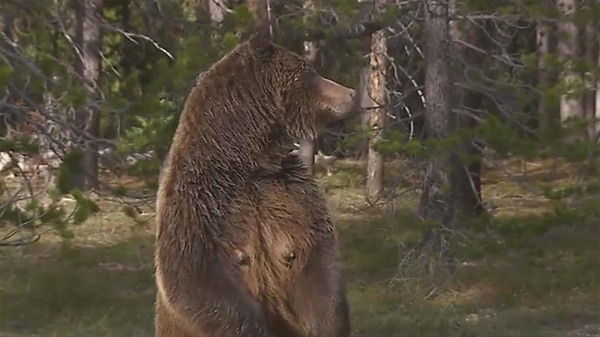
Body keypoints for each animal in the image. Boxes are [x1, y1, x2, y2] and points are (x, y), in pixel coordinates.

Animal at [156, 23, 356, 336]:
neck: (248, 157)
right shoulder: (196, 203)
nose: (351, 93)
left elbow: (320, 262)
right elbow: (194, 279)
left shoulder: (290, 191)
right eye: (309, 72)